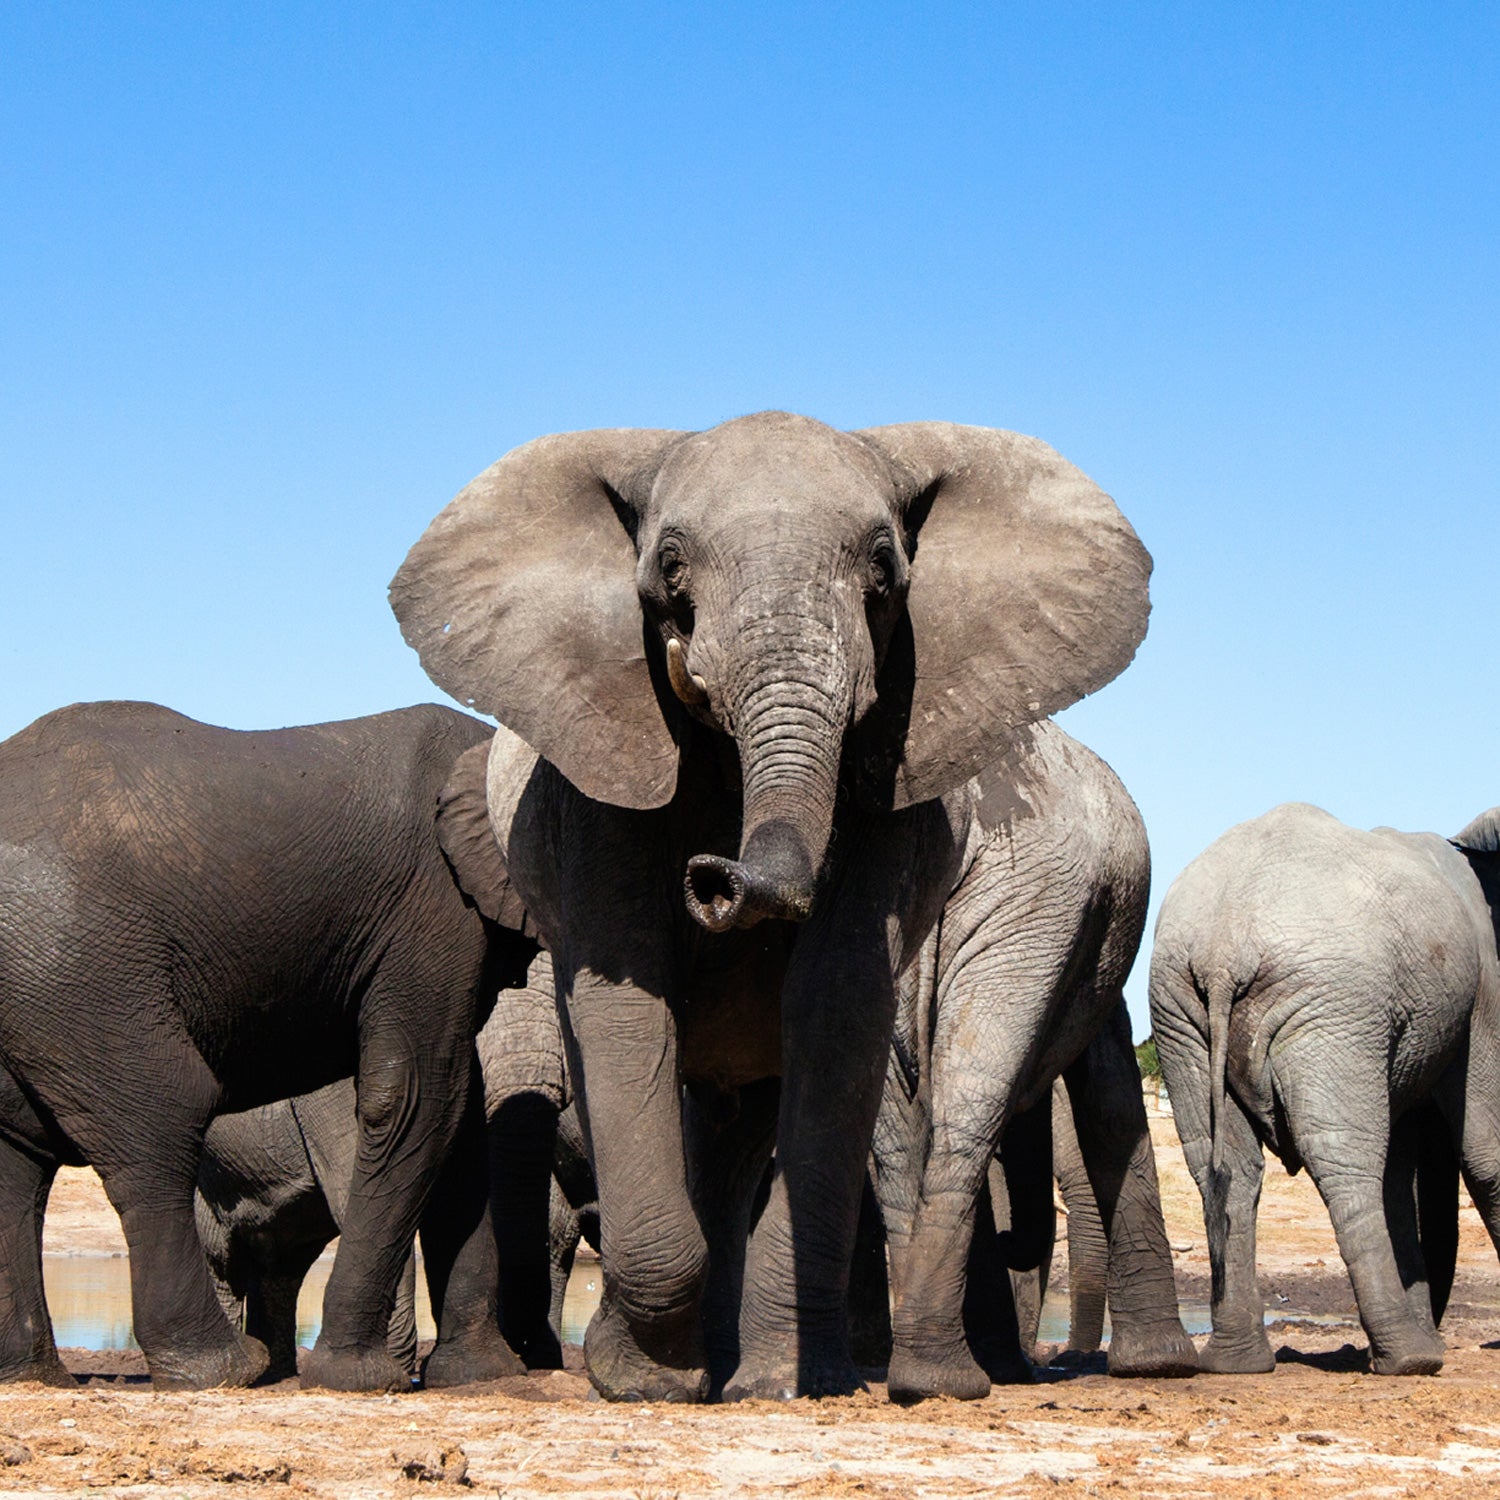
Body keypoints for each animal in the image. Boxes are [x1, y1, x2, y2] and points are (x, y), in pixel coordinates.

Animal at [0, 696, 534, 1386]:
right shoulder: (435, 907)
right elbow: (418, 1097)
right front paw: (357, 1379)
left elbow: (459, 1119)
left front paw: (481, 1376)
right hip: (78, 961)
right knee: (157, 1120)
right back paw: (226, 1369)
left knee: (17, 1158)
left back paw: (35, 1376)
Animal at [393, 414, 1152, 1404]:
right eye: (669, 566)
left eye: (884, 568)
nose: (715, 878)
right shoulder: (595, 779)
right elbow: (627, 1005)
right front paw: (646, 1381)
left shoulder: (888, 794)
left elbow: (835, 1004)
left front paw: (780, 1383)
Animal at [870, 720, 1194, 1398]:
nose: (1063, 1359)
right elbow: (1110, 1101)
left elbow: (1109, 1103)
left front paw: (1156, 1364)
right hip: (1029, 903)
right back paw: (952, 1373)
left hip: (1029, 899)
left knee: (942, 1113)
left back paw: (942, 1373)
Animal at [1146, 804, 1500, 1374]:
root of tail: (1225, 947)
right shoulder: (1485, 985)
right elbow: (1485, 1149)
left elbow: (1402, 1165)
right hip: (1331, 1009)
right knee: (1344, 1158)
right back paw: (1411, 1359)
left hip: (1180, 1009)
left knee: (1221, 1164)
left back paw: (1238, 1362)